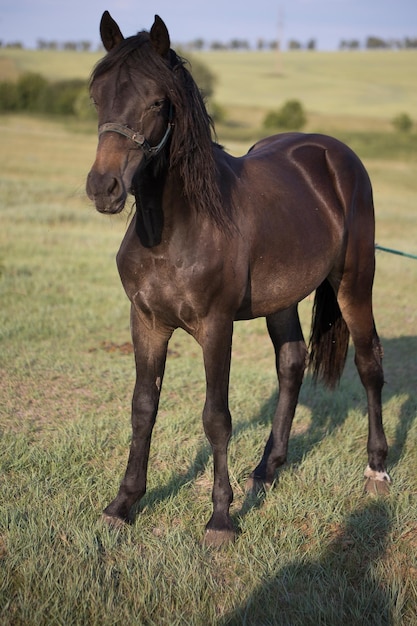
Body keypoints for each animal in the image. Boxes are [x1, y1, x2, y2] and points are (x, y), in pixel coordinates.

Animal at [85, 11, 390, 544]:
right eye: (97, 95)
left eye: (157, 101)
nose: (104, 188)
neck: (176, 227)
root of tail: (336, 155)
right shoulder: (146, 322)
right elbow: (143, 407)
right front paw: (123, 504)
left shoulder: (216, 326)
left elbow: (216, 418)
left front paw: (221, 518)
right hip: (283, 300)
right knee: (291, 364)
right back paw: (267, 469)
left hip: (354, 283)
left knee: (369, 361)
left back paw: (376, 468)